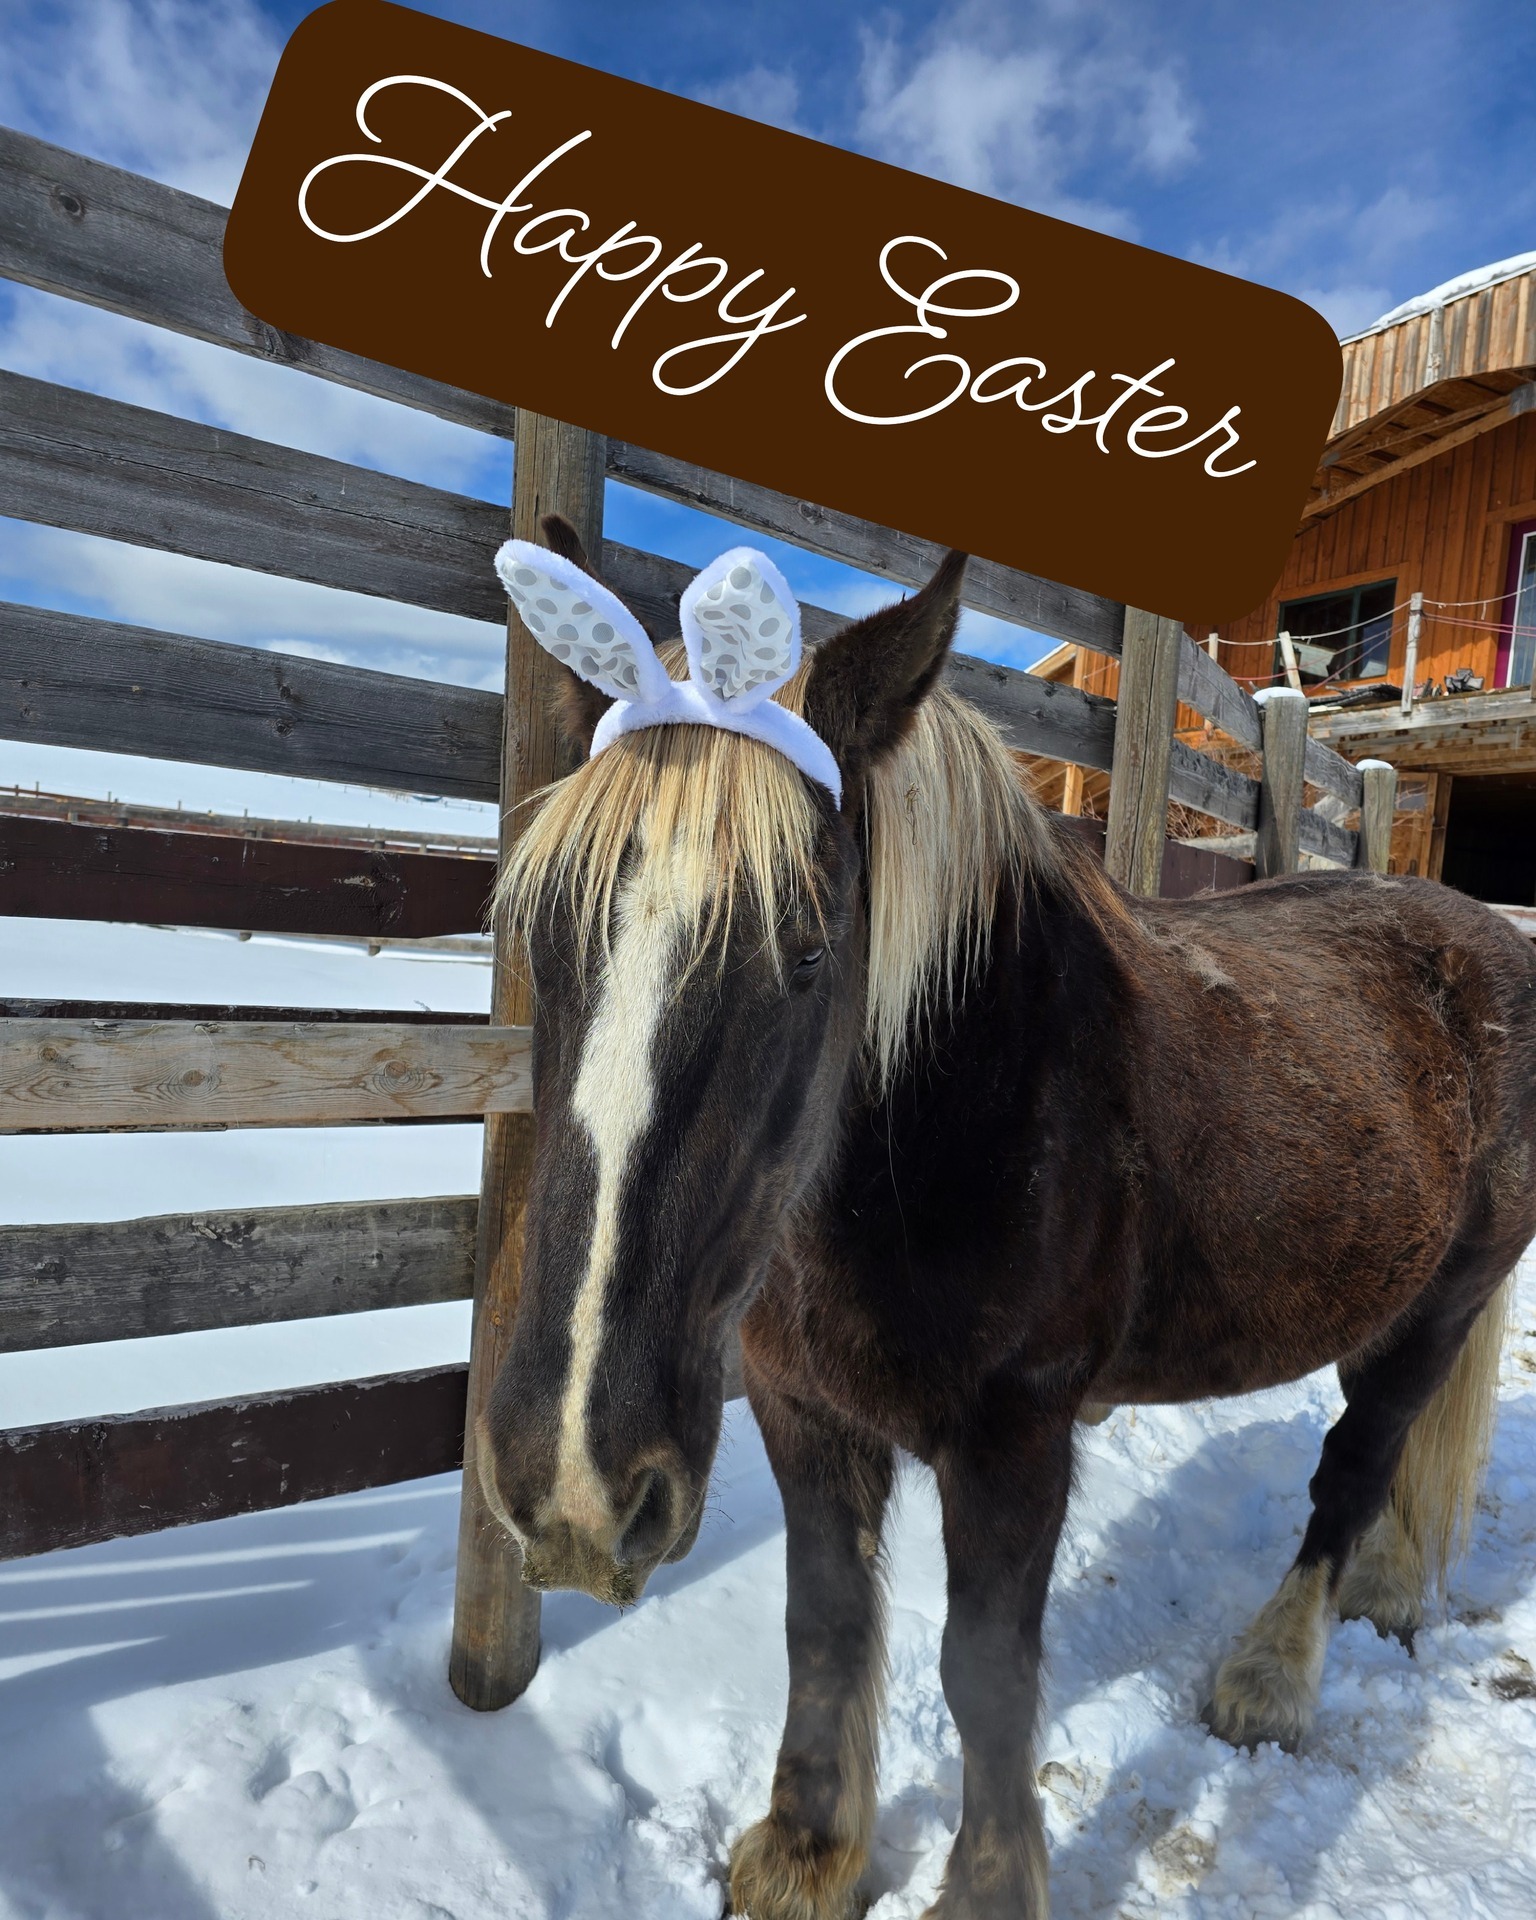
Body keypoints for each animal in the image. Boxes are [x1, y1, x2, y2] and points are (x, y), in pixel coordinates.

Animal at [474, 518, 1536, 1919]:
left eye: (807, 951)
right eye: (536, 932)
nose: (574, 1493)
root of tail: (1481, 932)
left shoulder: (1016, 1436)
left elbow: (985, 1673)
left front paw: (984, 1889)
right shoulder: (802, 1409)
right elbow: (825, 1623)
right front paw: (807, 1849)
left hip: (1450, 1292)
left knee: (1355, 1467)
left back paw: (1270, 1679)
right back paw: (1384, 1593)